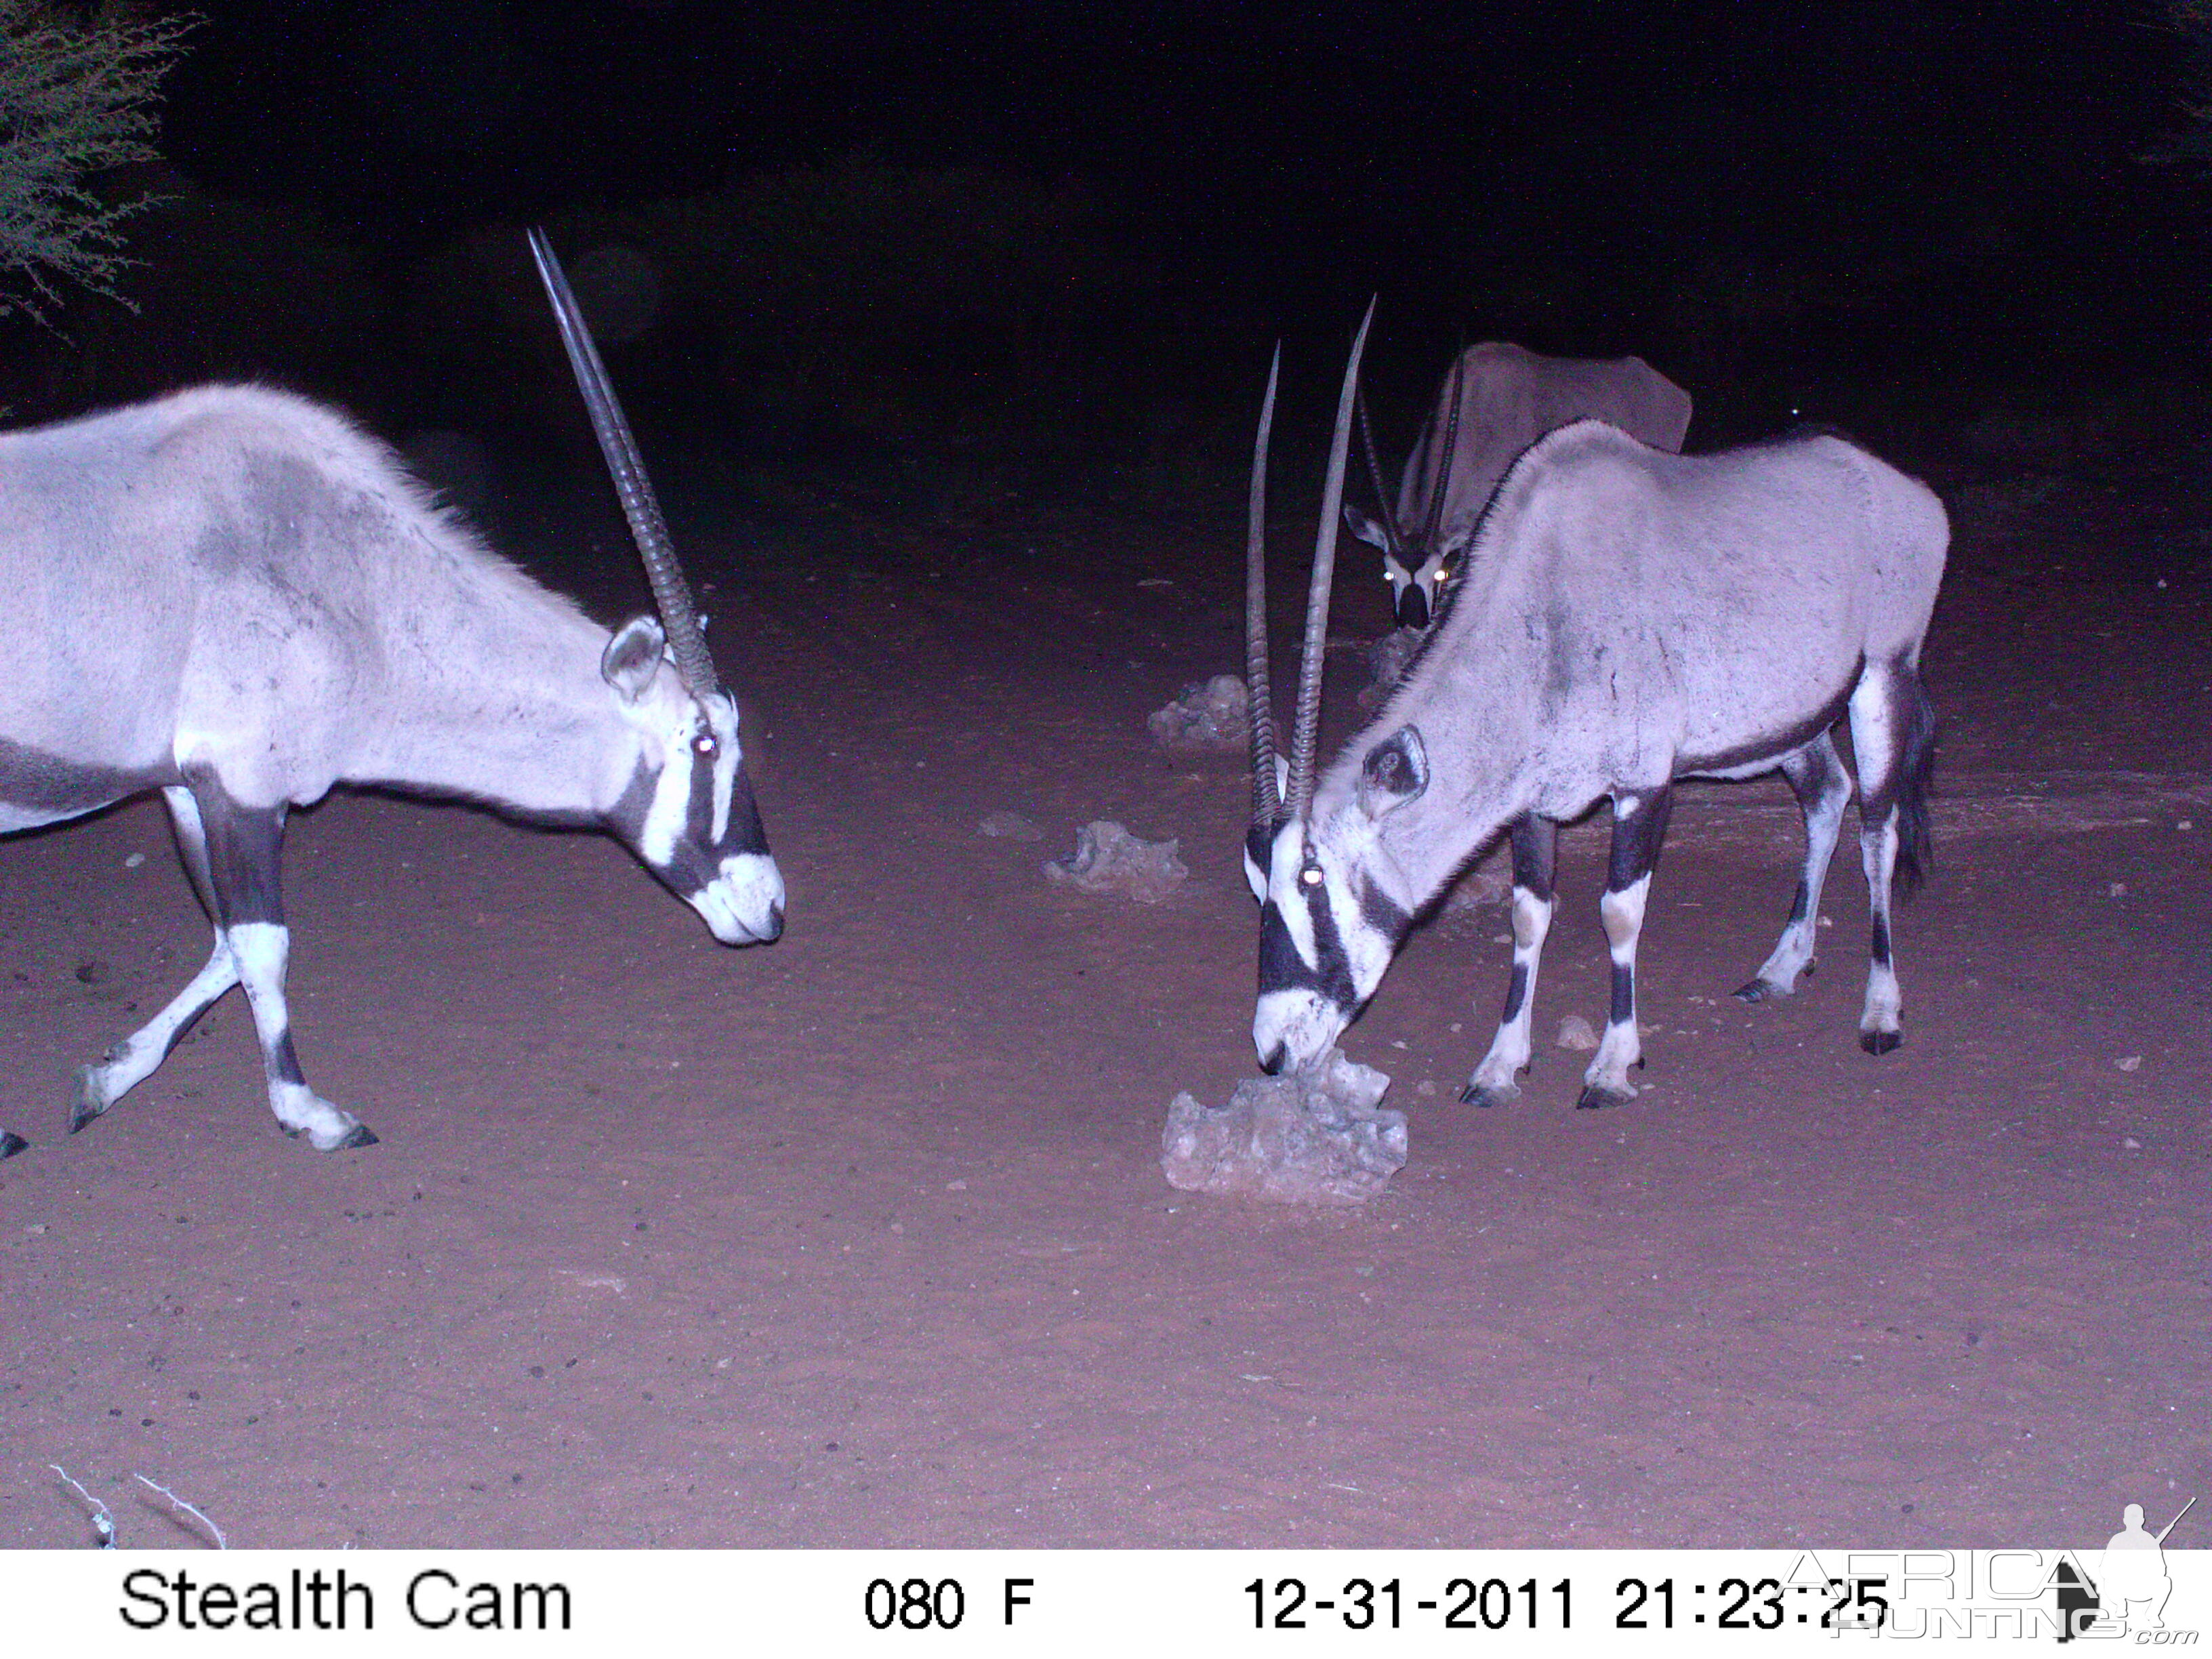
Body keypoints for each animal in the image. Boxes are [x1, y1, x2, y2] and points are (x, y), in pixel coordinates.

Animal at [0, 234, 783, 1159]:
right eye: (703, 742)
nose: (770, 908)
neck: (353, 584)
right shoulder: (243, 787)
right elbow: (262, 946)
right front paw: (311, 1112)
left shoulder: (189, 789)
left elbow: (225, 941)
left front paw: (105, 1078)